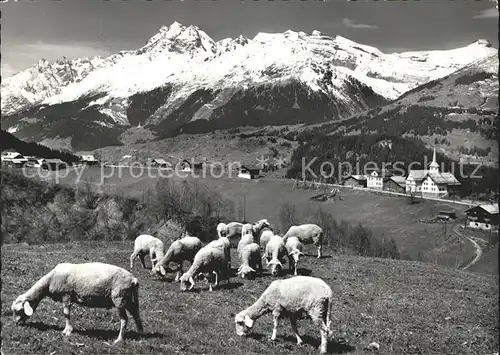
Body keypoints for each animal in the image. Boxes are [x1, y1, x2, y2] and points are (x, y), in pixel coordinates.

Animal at [10, 264, 144, 344]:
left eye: (18, 310)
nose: (16, 323)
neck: (50, 281)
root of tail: (133, 279)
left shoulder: (66, 295)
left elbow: (66, 314)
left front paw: (67, 331)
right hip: (128, 298)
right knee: (136, 314)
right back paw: (140, 334)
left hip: (119, 297)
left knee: (124, 319)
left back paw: (119, 339)